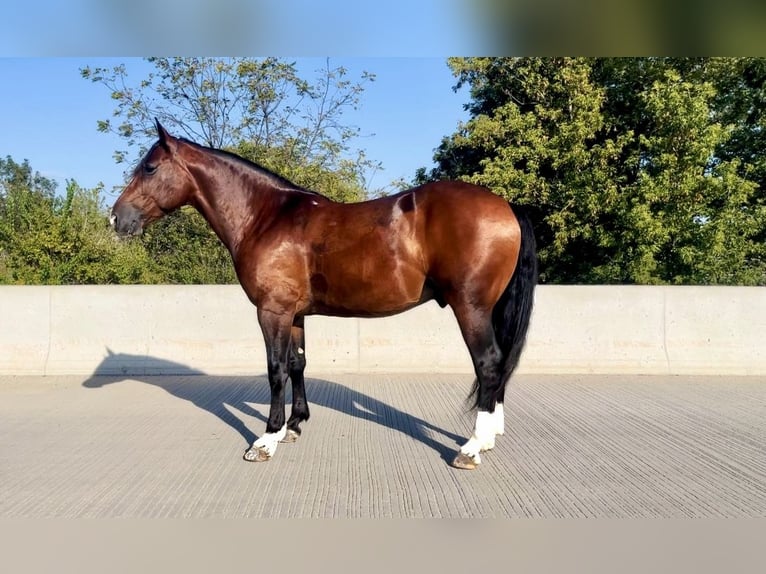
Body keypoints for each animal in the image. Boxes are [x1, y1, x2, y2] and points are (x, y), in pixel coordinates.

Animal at [111, 119, 536, 470]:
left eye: (149, 167)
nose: (116, 218)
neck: (265, 217)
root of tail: (506, 206)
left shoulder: (272, 311)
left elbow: (276, 370)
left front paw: (266, 439)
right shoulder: (295, 313)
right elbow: (297, 363)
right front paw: (294, 426)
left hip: (471, 308)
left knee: (489, 364)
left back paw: (472, 448)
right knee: (498, 366)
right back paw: (490, 437)